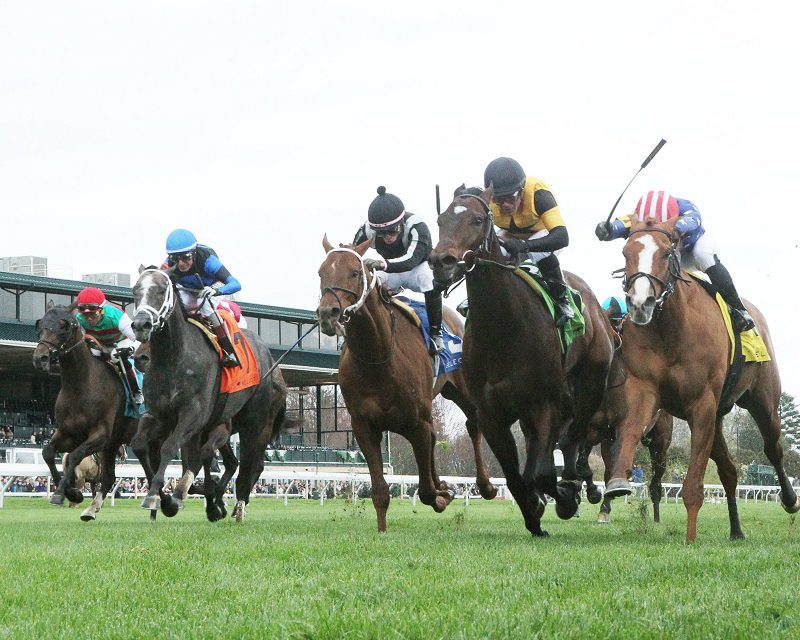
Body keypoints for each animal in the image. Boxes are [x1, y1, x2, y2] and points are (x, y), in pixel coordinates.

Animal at [32, 304, 138, 520]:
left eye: (64, 325)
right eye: (40, 323)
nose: (41, 358)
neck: (82, 385)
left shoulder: (101, 435)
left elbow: (75, 456)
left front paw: (61, 494)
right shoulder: (69, 433)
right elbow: (48, 452)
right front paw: (71, 493)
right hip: (118, 444)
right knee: (111, 477)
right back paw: (92, 509)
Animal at [131, 268, 290, 524]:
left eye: (161, 290)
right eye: (135, 290)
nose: (141, 324)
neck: (173, 357)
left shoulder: (193, 414)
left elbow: (171, 447)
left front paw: (163, 495)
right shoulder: (158, 414)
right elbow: (140, 446)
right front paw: (166, 498)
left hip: (257, 422)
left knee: (251, 463)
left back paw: (239, 506)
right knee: (232, 461)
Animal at [318, 238, 494, 532]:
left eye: (354, 272)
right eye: (321, 272)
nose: (327, 313)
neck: (377, 358)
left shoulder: (416, 423)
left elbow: (425, 492)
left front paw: (442, 495)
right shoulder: (365, 427)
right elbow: (380, 490)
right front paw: (382, 531)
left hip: (461, 391)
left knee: (473, 423)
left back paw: (486, 485)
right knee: (436, 438)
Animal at [432, 185, 612, 536]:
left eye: (476, 220)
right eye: (440, 219)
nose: (441, 261)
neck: (504, 328)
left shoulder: (545, 403)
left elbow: (541, 474)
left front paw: (563, 499)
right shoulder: (491, 414)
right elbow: (517, 478)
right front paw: (534, 512)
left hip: (592, 380)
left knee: (575, 433)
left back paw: (578, 481)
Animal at [604, 215, 796, 540]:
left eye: (666, 253)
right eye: (625, 253)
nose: (641, 303)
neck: (670, 331)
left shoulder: (702, 403)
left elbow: (693, 480)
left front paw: (691, 536)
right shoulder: (644, 391)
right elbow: (629, 430)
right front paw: (617, 483)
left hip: (763, 402)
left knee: (773, 448)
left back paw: (790, 499)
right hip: (718, 418)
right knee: (729, 470)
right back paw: (736, 530)